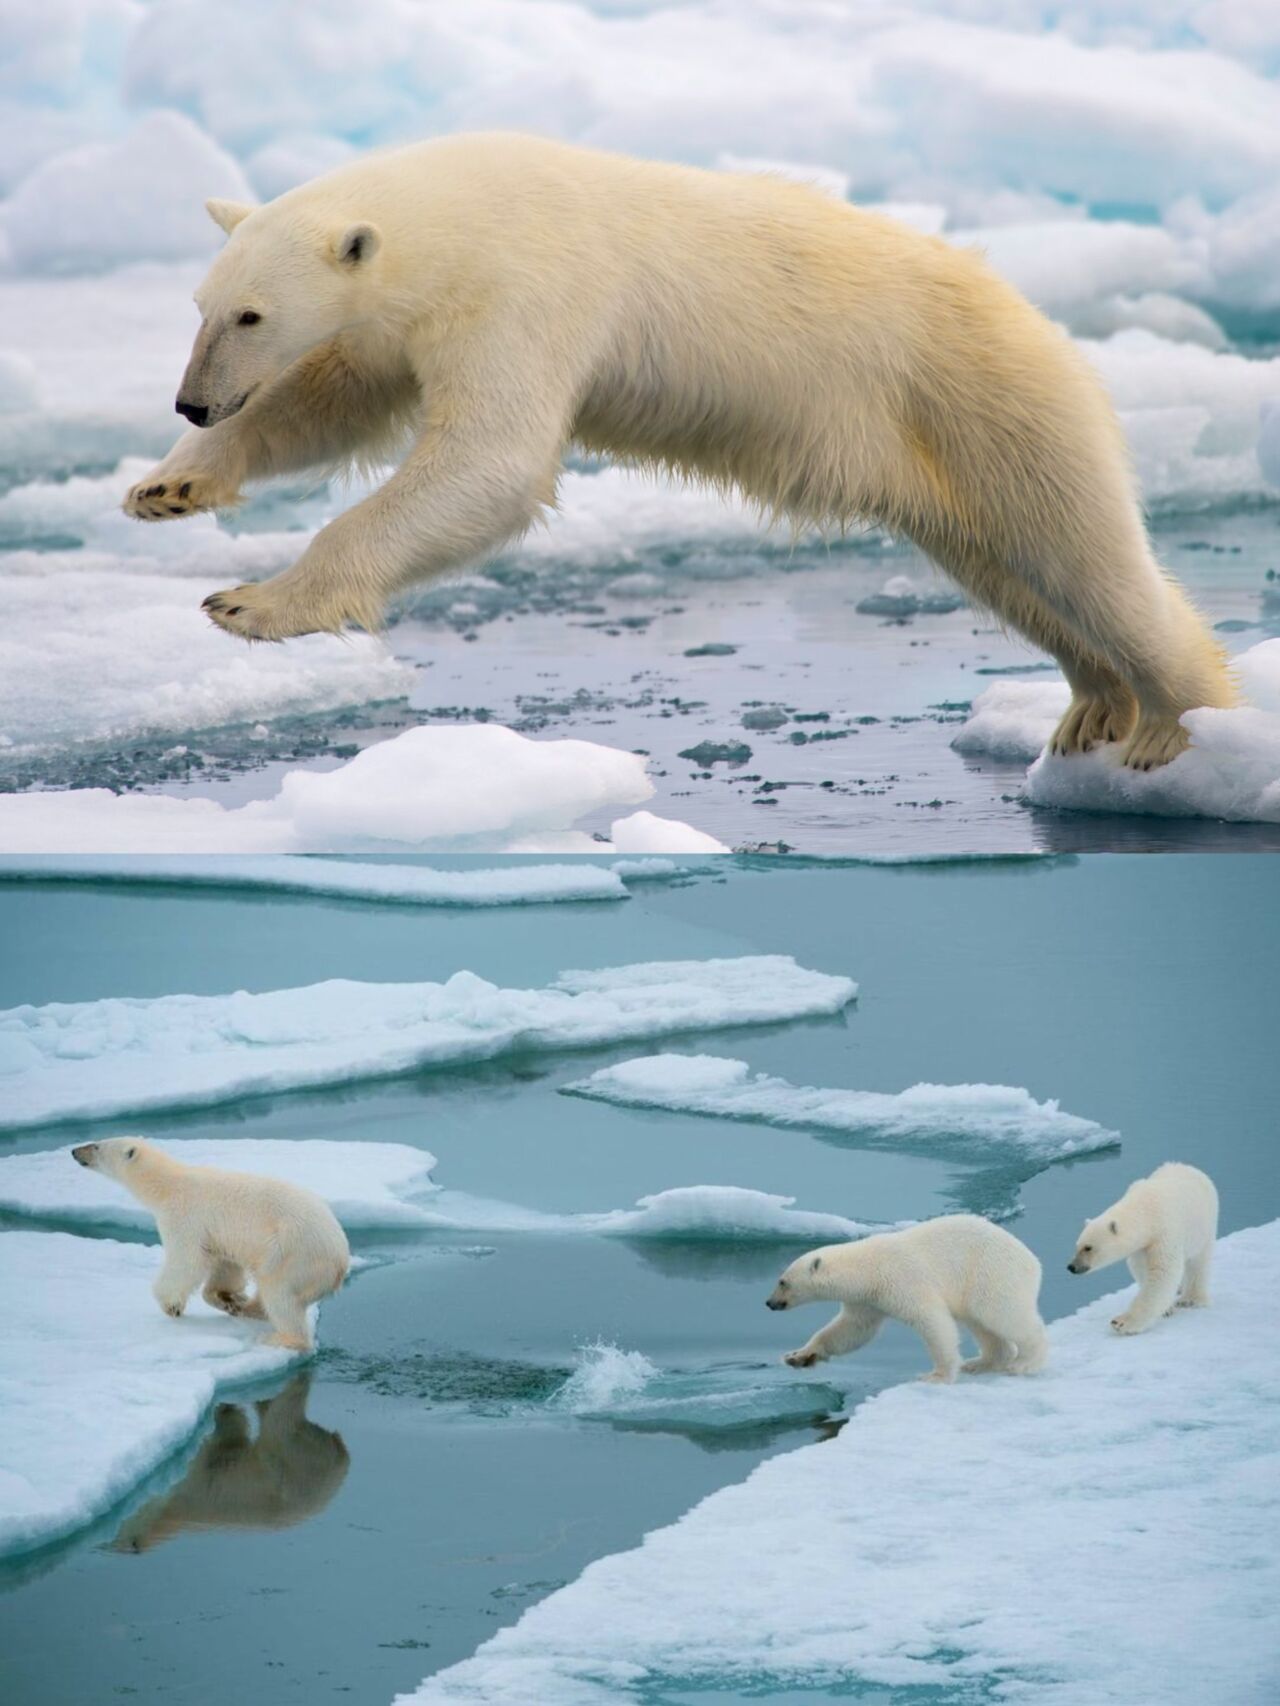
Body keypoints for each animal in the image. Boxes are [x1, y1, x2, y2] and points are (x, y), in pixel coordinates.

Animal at [72, 1139, 348, 1351]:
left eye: (96, 1146)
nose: (75, 1151)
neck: (169, 1184)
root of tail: (341, 1262)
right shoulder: (218, 1233)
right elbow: (224, 1264)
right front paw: (226, 1297)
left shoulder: (184, 1217)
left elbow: (187, 1260)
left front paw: (171, 1304)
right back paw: (244, 1306)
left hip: (293, 1254)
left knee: (280, 1293)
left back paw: (276, 1335)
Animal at [128, 129, 1235, 771]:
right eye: (201, 306)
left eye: (251, 313)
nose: (191, 400)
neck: (463, 211)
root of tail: (1042, 324)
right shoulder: (408, 320)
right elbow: (335, 399)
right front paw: (170, 486)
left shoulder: (527, 290)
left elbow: (490, 460)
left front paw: (252, 602)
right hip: (940, 458)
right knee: (1010, 571)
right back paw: (1091, 706)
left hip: (987, 400)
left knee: (1085, 556)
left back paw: (1173, 726)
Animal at [768, 1214, 1044, 1385]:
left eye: (783, 1281)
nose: (769, 1303)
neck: (868, 1268)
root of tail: (1033, 1261)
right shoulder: (868, 1300)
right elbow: (851, 1330)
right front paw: (798, 1355)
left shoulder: (902, 1281)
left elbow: (932, 1320)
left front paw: (936, 1376)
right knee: (982, 1324)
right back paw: (980, 1363)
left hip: (991, 1272)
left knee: (1002, 1314)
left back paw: (1024, 1363)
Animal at [1064, 1160, 1215, 1330]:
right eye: (1077, 1245)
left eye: (1088, 1247)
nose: (1071, 1267)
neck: (1147, 1209)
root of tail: (1187, 1167)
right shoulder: (1141, 1246)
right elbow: (1141, 1268)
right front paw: (1166, 1309)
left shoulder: (1165, 1232)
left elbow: (1162, 1272)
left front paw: (1121, 1322)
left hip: (1204, 1225)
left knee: (1198, 1261)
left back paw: (1191, 1299)